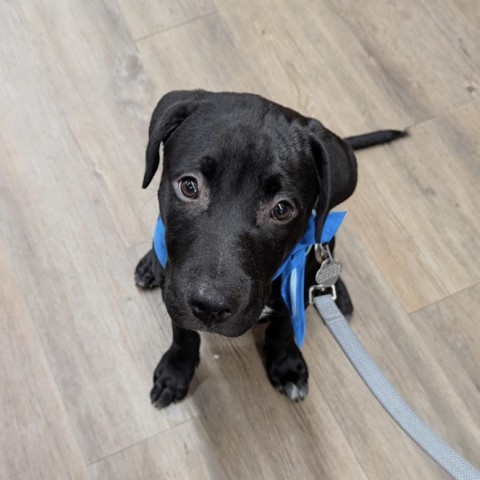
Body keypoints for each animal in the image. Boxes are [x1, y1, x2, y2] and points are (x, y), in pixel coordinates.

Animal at [135, 89, 404, 404]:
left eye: (282, 209)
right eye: (189, 187)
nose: (210, 307)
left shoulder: (297, 285)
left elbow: (283, 327)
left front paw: (287, 365)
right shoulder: (175, 290)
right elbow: (183, 332)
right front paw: (176, 371)